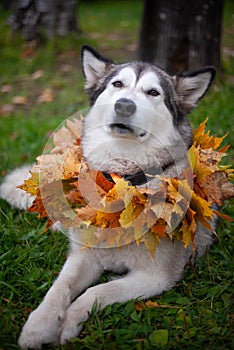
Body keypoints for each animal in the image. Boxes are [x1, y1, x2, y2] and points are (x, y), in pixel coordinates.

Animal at [0, 45, 217, 348]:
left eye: (153, 92)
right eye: (117, 84)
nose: (124, 105)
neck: (120, 184)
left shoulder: (155, 277)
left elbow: (97, 291)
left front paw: (68, 323)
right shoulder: (84, 256)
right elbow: (60, 287)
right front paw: (39, 325)